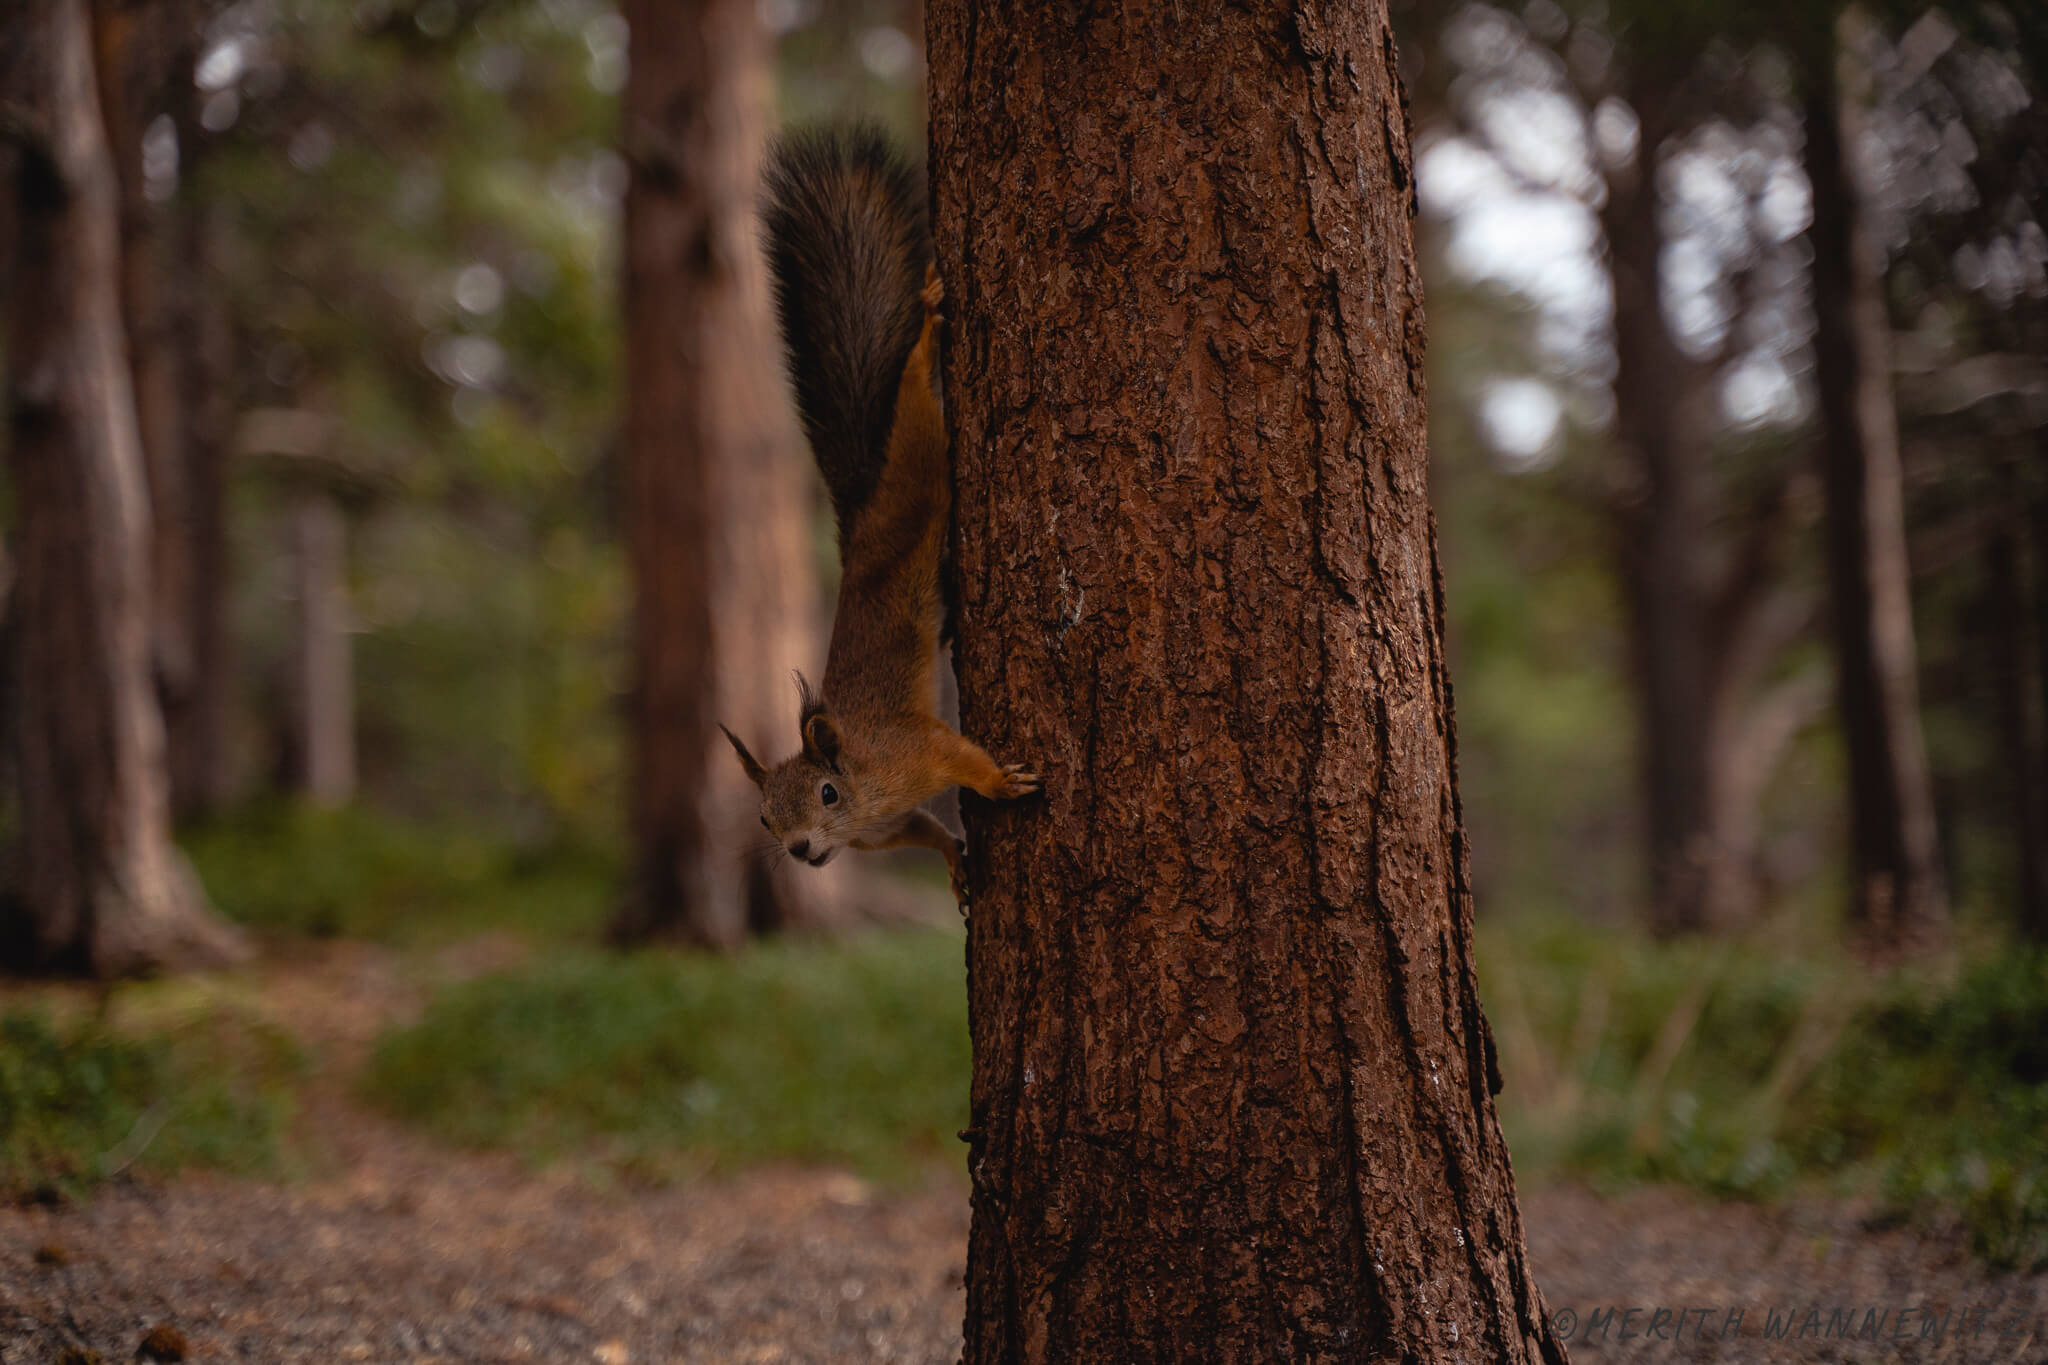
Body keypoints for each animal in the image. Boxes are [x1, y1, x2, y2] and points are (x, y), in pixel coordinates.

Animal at [720, 122, 1040, 900]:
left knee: (917, 413)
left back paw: (925, 335)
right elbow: (926, 832)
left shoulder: (913, 751)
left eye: (826, 793)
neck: (862, 797)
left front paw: (1001, 782)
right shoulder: (887, 828)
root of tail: (864, 525)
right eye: (766, 817)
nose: (802, 850)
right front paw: (956, 863)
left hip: (915, 479)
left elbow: (958, 754)